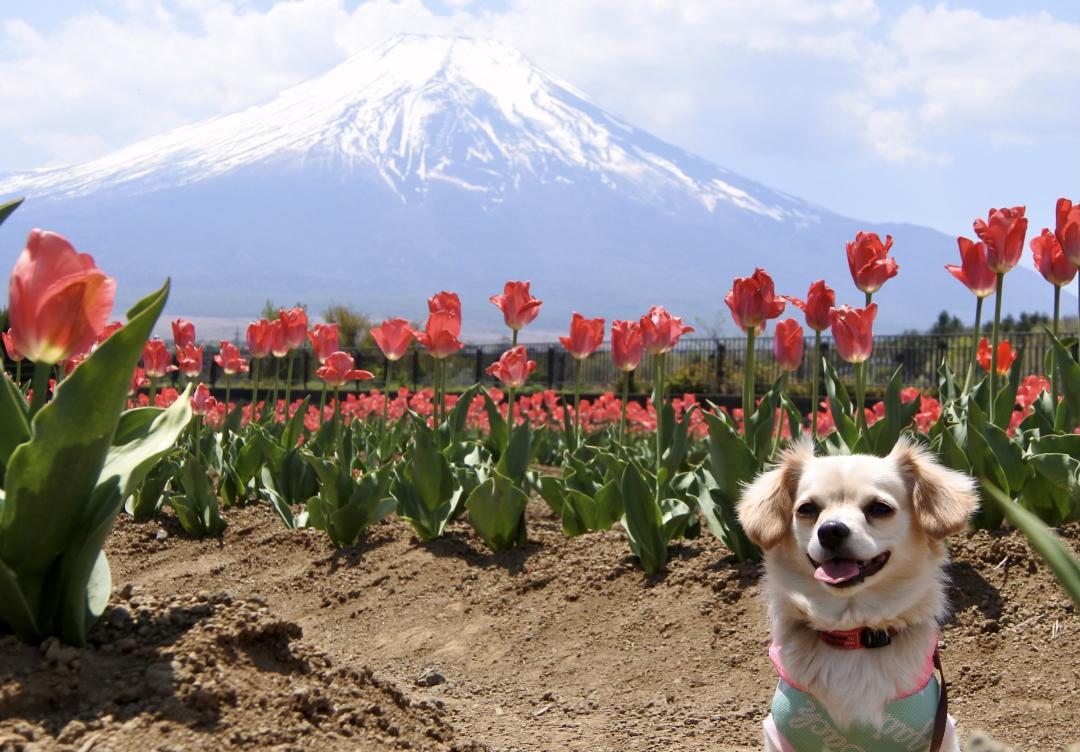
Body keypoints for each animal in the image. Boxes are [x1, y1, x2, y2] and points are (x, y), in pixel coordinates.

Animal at [734, 438, 980, 751]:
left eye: (880, 508)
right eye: (806, 509)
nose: (830, 530)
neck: (853, 634)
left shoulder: (939, 732)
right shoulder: (780, 736)